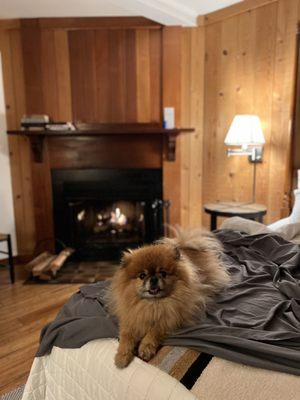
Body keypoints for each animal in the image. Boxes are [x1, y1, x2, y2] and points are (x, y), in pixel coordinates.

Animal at [110, 228, 230, 368]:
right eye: (142, 275)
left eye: (163, 273)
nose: (153, 279)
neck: (153, 304)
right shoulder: (130, 318)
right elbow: (126, 337)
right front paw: (122, 356)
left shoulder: (169, 319)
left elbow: (153, 333)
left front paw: (145, 348)